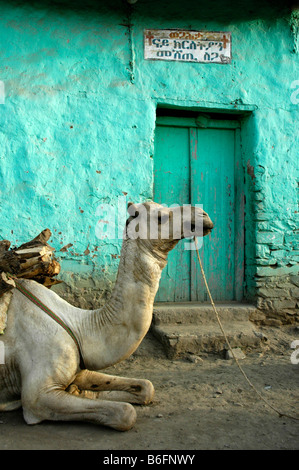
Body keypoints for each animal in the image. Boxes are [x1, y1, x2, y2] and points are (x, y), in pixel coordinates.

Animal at [0, 201, 216, 430]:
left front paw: (80, 390)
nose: (204, 216)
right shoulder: (37, 396)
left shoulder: (81, 369)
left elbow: (146, 387)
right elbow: (125, 412)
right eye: (160, 217)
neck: (79, 327)